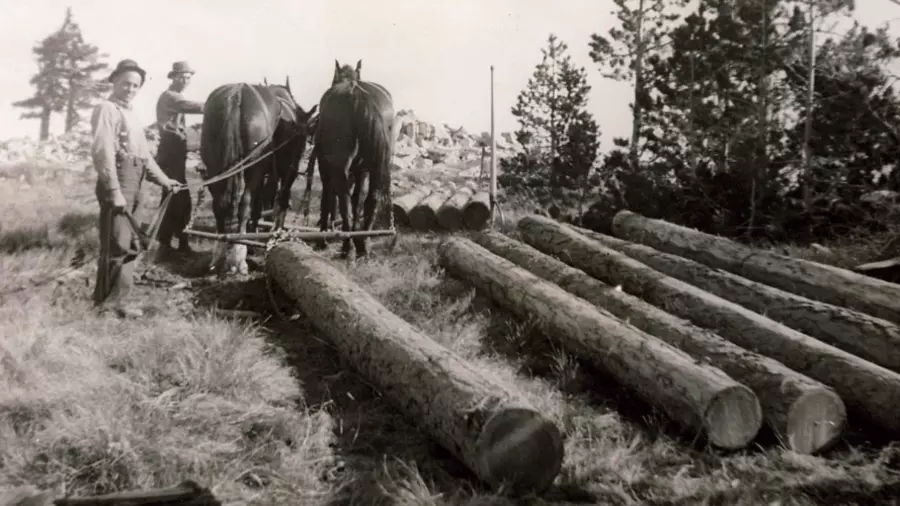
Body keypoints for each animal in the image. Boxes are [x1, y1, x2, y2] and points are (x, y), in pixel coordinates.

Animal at [202, 79, 318, 274]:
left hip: (215, 167)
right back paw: (239, 256)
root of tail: (238, 92)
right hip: (255, 167)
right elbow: (278, 199)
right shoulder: (286, 170)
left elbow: (261, 203)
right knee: (244, 205)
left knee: (220, 205)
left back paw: (220, 253)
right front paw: (273, 233)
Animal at [308, 58, 396, 256]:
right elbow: (358, 200)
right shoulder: (361, 170)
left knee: (343, 201)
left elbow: (328, 198)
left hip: (339, 167)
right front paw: (358, 237)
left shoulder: (325, 166)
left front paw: (323, 238)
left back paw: (347, 246)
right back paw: (364, 243)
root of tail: (357, 94)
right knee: (371, 199)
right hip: (378, 165)